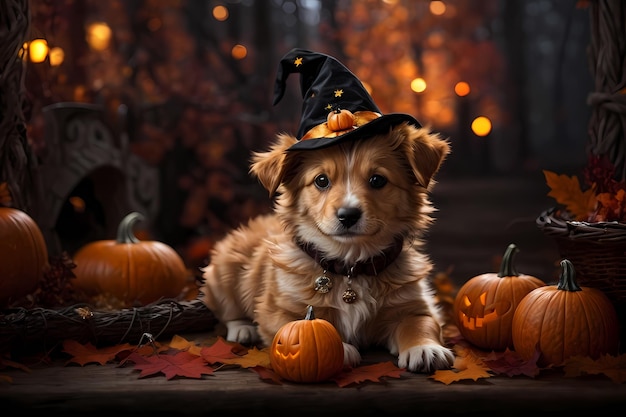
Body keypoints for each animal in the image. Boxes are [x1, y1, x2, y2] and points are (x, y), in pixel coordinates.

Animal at [200, 122, 454, 372]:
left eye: (378, 180)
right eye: (321, 180)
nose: (348, 215)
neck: (350, 265)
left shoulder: (413, 304)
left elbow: (421, 323)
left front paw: (425, 348)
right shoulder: (277, 310)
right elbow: (296, 328)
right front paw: (337, 349)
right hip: (225, 271)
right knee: (227, 311)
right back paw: (242, 329)